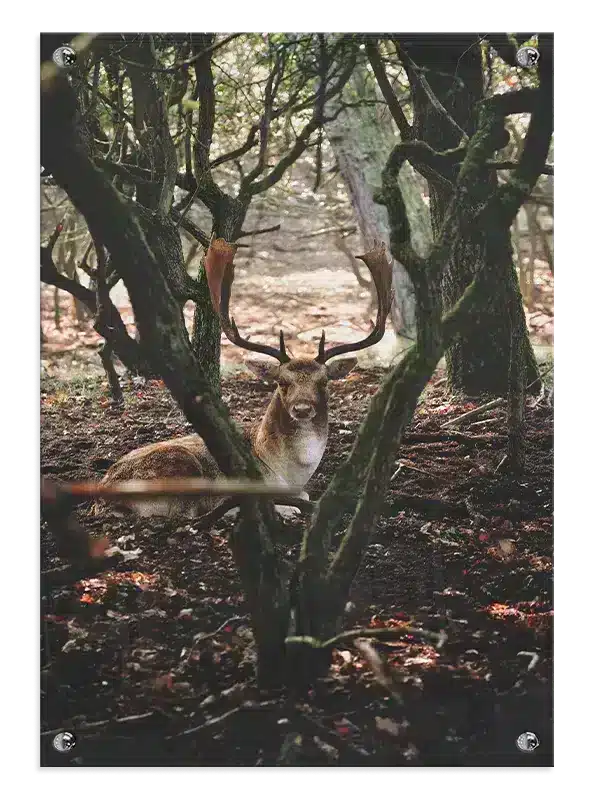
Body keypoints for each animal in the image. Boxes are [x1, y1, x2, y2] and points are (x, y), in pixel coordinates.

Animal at [95, 238, 392, 521]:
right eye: (282, 382)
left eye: (324, 382)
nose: (302, 408)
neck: (288, 475)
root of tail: (103, 496)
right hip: (180, 469)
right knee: (192, 512)